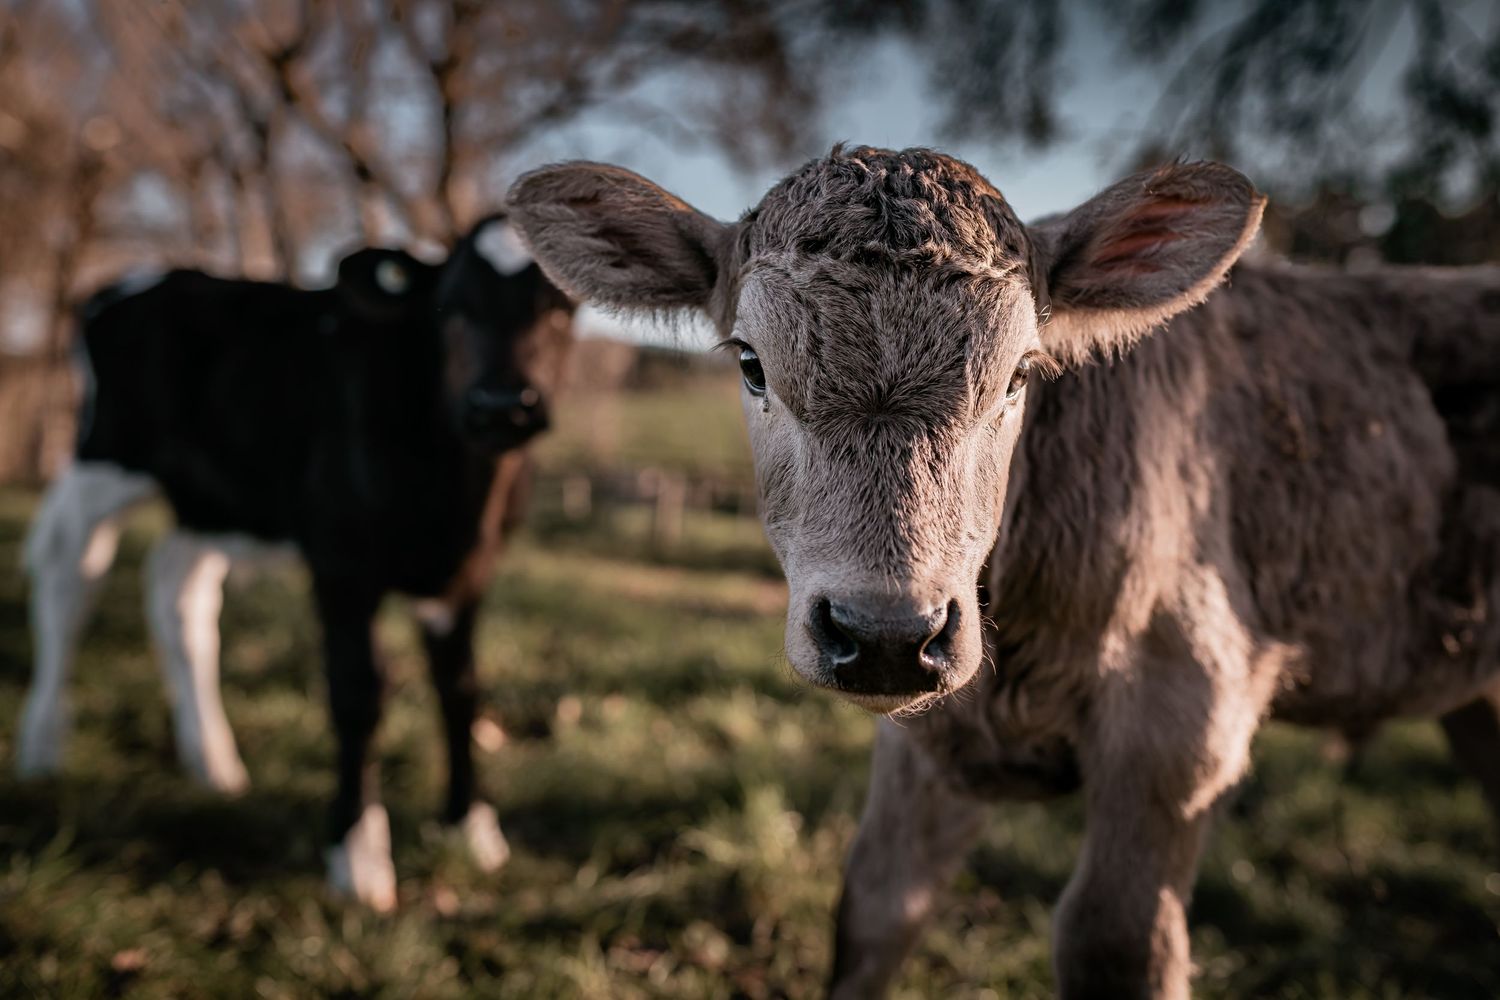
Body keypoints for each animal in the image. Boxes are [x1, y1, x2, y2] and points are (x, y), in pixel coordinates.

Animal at [16, 214, 575, 911]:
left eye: (559, 307)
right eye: (452, 306)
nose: (502, 404)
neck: (452, 503)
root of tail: (131, 283)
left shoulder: (469, 572)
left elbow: (462, 688)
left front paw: (470, 827)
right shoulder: (340, 560)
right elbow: (359, 693)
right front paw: (357, 855)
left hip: (215, 499)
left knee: (179, 595)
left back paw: (215, 763)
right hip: (104, 457)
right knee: (69, 581)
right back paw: (41, 745)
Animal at [507, 146, 1500, 998]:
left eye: (1022, 372)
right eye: (750, 364)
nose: (886, 635)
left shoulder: (1182, 721)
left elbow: (1112, 943)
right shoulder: (922, 744)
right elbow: (871, 915)